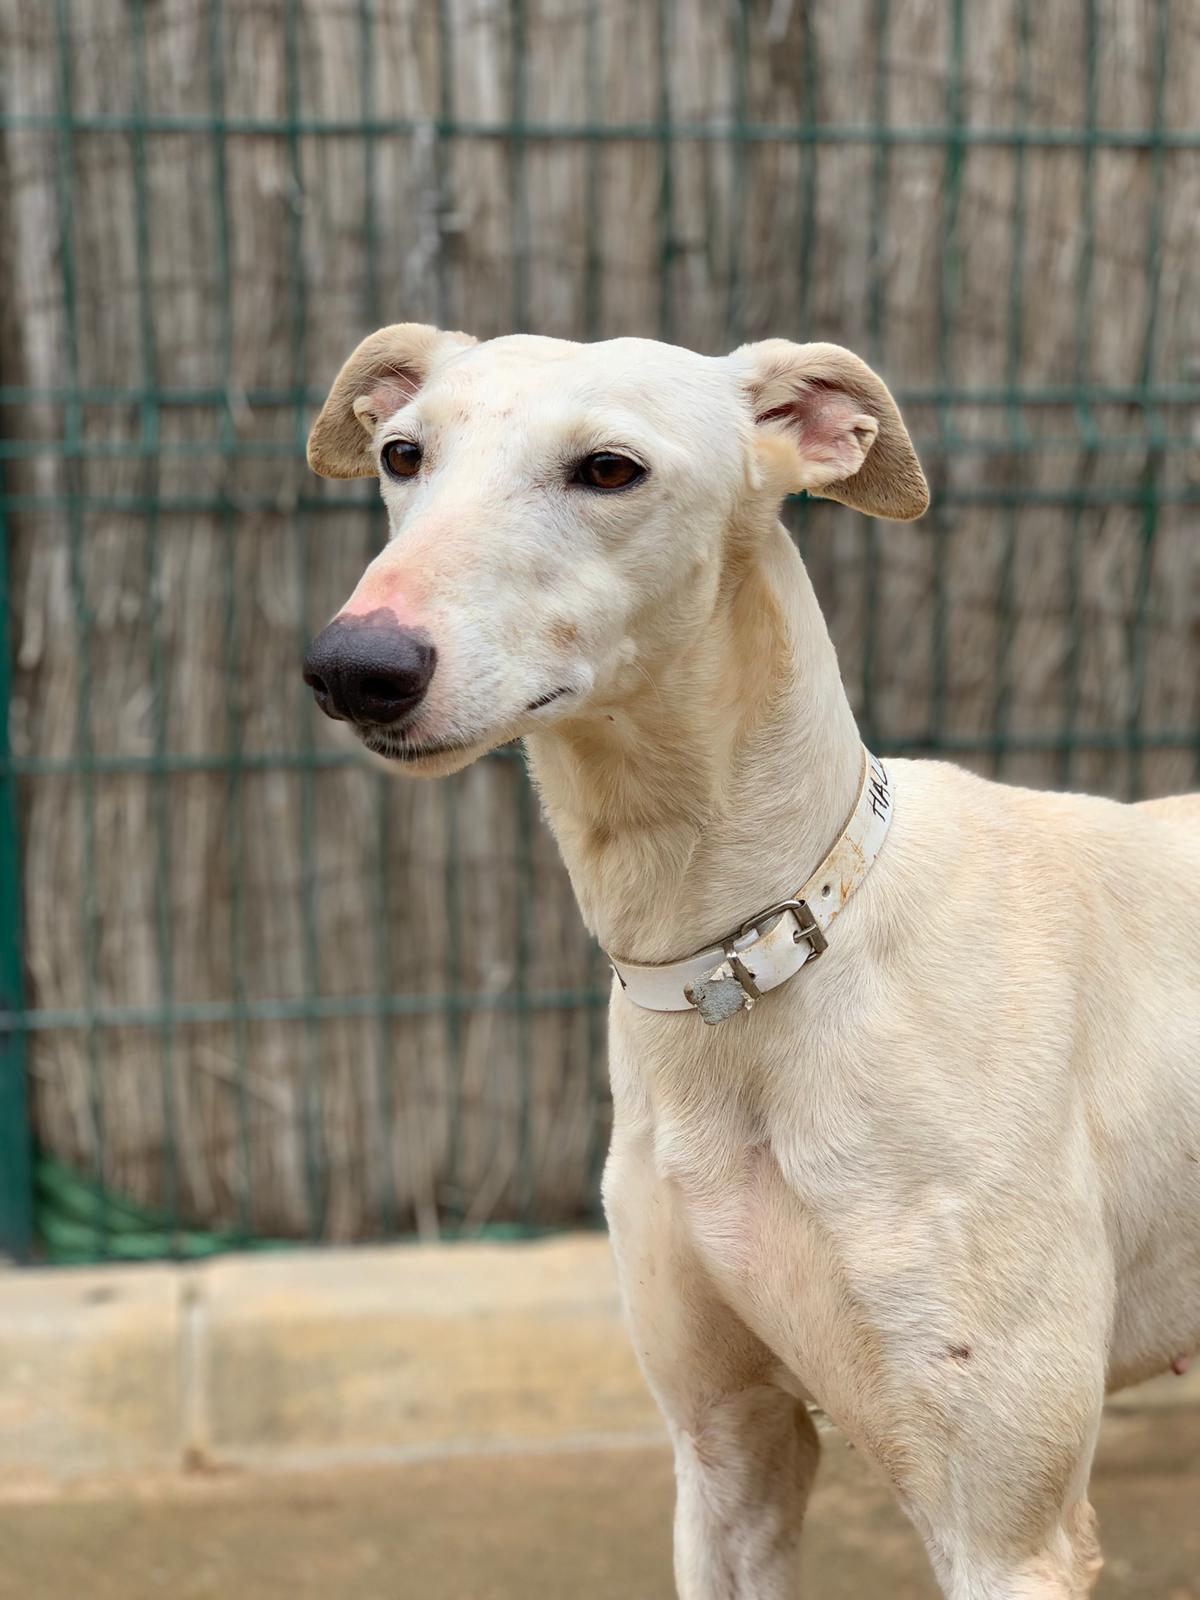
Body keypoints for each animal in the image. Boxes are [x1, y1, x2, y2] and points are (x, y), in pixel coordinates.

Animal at [302, 324, 1200, 1599]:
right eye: (401, 452)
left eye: (610, 468)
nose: (354, 666)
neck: (755, 960)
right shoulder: (727, 1447)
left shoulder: (1007, 1533)